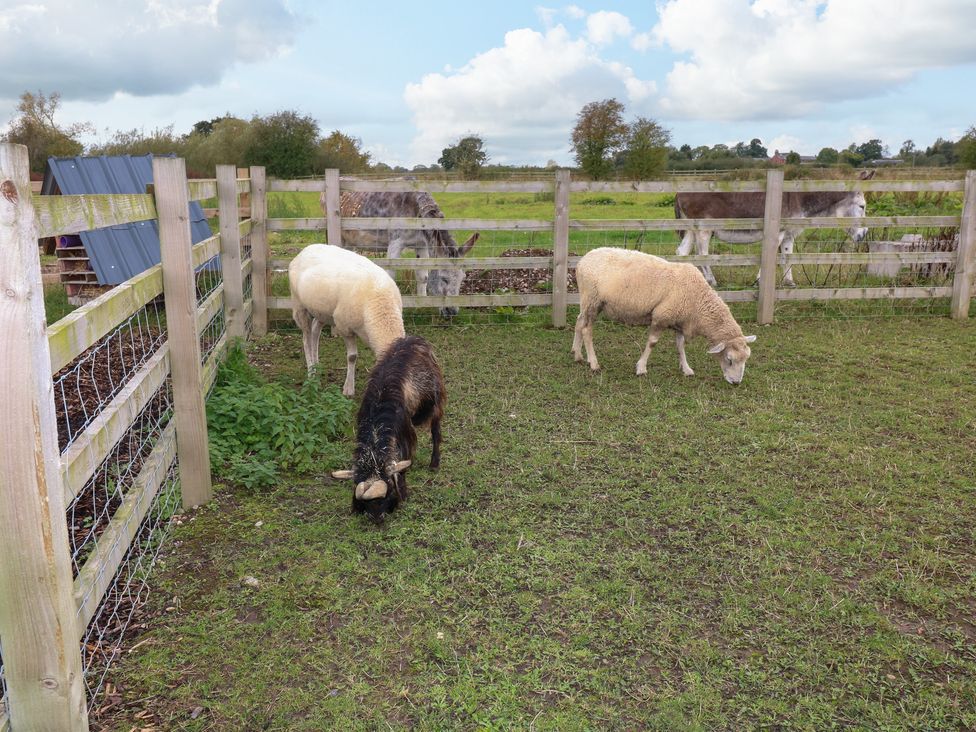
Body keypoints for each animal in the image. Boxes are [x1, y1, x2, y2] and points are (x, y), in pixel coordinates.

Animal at [290, 244, 404, 394]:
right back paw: (311, 374)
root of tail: (306, 249)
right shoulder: (344, 327)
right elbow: (352, 357)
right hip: (299, 305)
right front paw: (348, 389)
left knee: (315, 332)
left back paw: (316, 367)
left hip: (323, 311)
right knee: (306, 339)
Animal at [572, 247, 764, 384]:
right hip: (592, 300)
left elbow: (680, 346)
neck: (698, 301)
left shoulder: (680, 320)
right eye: (729, 359)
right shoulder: (661, 317)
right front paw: (641, 368)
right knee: (587, 330)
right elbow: (652, 343)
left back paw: (577, 355)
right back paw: (593, 363)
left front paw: (686, 369)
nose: (736, 383)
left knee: (579, 322)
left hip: (587, 301)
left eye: (746, 358)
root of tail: (582, 260)